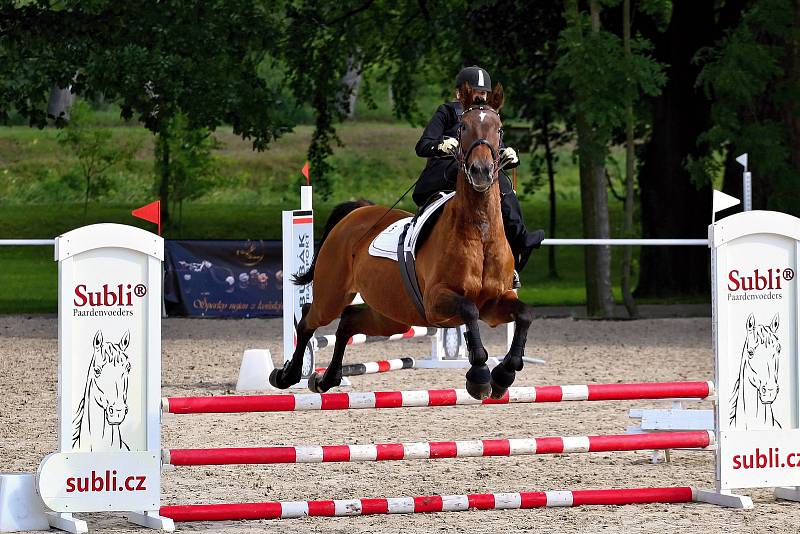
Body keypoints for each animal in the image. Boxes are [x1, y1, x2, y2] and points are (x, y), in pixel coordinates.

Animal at [272, 82, 536, 402]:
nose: (481, 172)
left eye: (499, 129)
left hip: (392, 313)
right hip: (333, 295)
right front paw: (480, 376)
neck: (479, 232)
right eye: (463, 127)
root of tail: (358, 211)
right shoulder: (437, 301)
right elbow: (469, 311)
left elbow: (525, 314)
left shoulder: (495, 302)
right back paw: (288, 375)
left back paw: (327, 379)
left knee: (349, 320)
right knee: (309, 319)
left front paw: (503, 375)